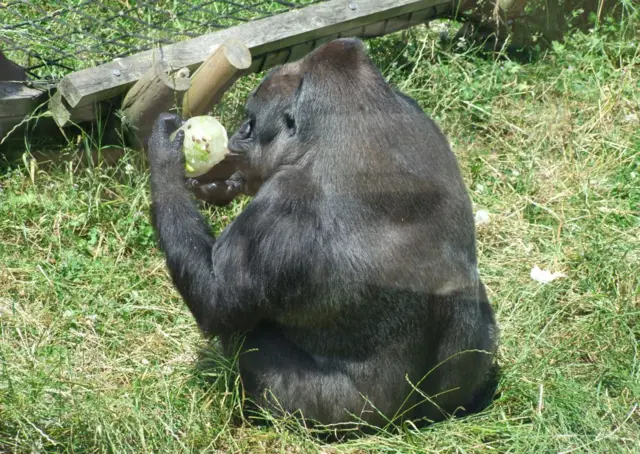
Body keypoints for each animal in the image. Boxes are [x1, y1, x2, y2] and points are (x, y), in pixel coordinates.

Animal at [148, 38, 498, 430]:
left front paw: (165, 156)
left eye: (251, 122)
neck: (357, 119)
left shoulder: (280, 210)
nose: (237, 136)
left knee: (252, 339)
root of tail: (407, 422)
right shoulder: (416, 110)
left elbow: (213, 303)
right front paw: (219, 183)